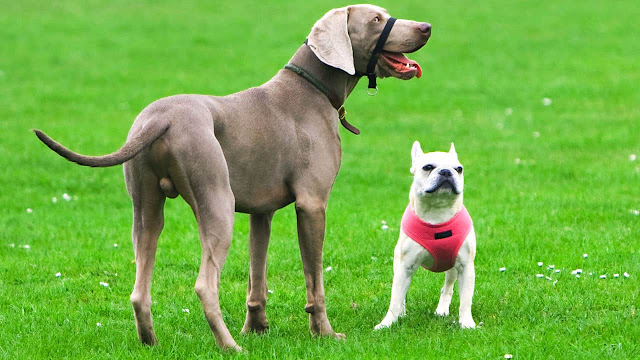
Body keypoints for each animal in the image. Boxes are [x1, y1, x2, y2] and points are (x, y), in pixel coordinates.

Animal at [37, 3, 432, 352]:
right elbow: (315, 280)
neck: (313, 90)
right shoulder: (312, 204)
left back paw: (151, 342)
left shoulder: (261, 212)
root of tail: (159, 120)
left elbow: (257, 275)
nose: (426, 27)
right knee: (204, 285)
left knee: (139, 287)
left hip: (146, 208)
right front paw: (324, 333)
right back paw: (228, 345)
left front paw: (257, 328)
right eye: (377, 19)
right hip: (217, 201)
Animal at [376, 140, 476, 330]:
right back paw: (401, 313)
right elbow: (395, 298)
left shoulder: (466, 266)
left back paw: (442, 310)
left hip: (452, 269)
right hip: (398, 265)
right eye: (428, 167)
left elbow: (466, 300)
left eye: (459, 169)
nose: (446, 172)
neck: (438, 212)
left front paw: (467, 323)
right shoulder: (405, 266)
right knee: (401, 293)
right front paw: (387, 323)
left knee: (448, 287)